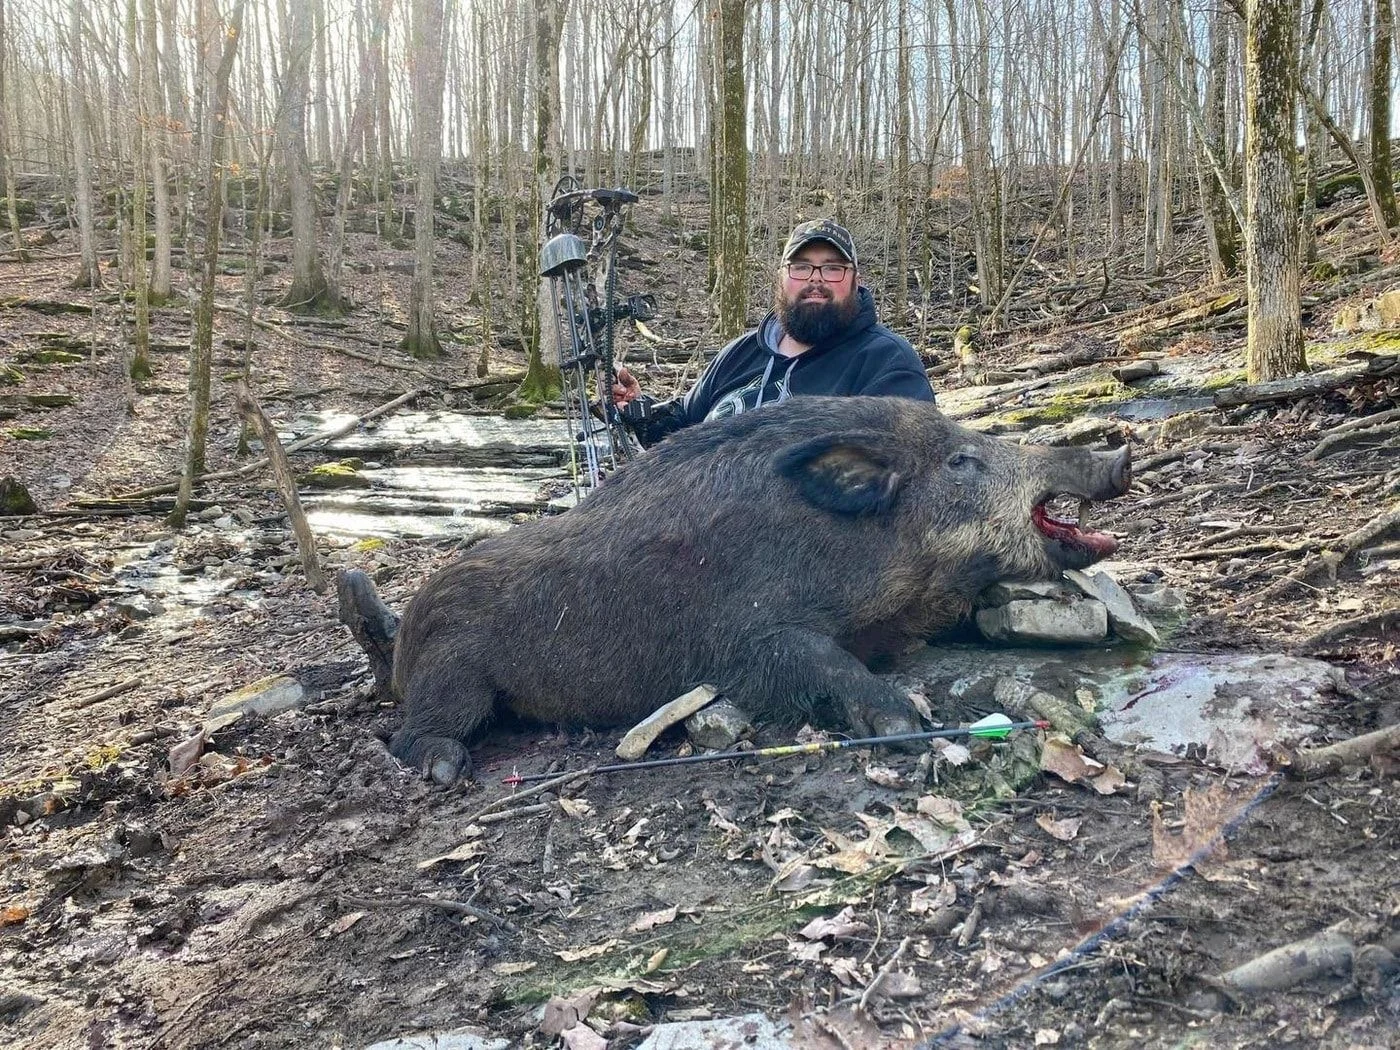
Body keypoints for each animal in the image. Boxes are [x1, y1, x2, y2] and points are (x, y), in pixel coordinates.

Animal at [339, 396, 1130, 782]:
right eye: (963, 460)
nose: (1118, 451)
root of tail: (404, 641)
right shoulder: (746, 639)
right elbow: (820, 662)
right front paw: (906, 721)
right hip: (455, 677)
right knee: (412, 732)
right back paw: (447, 770)